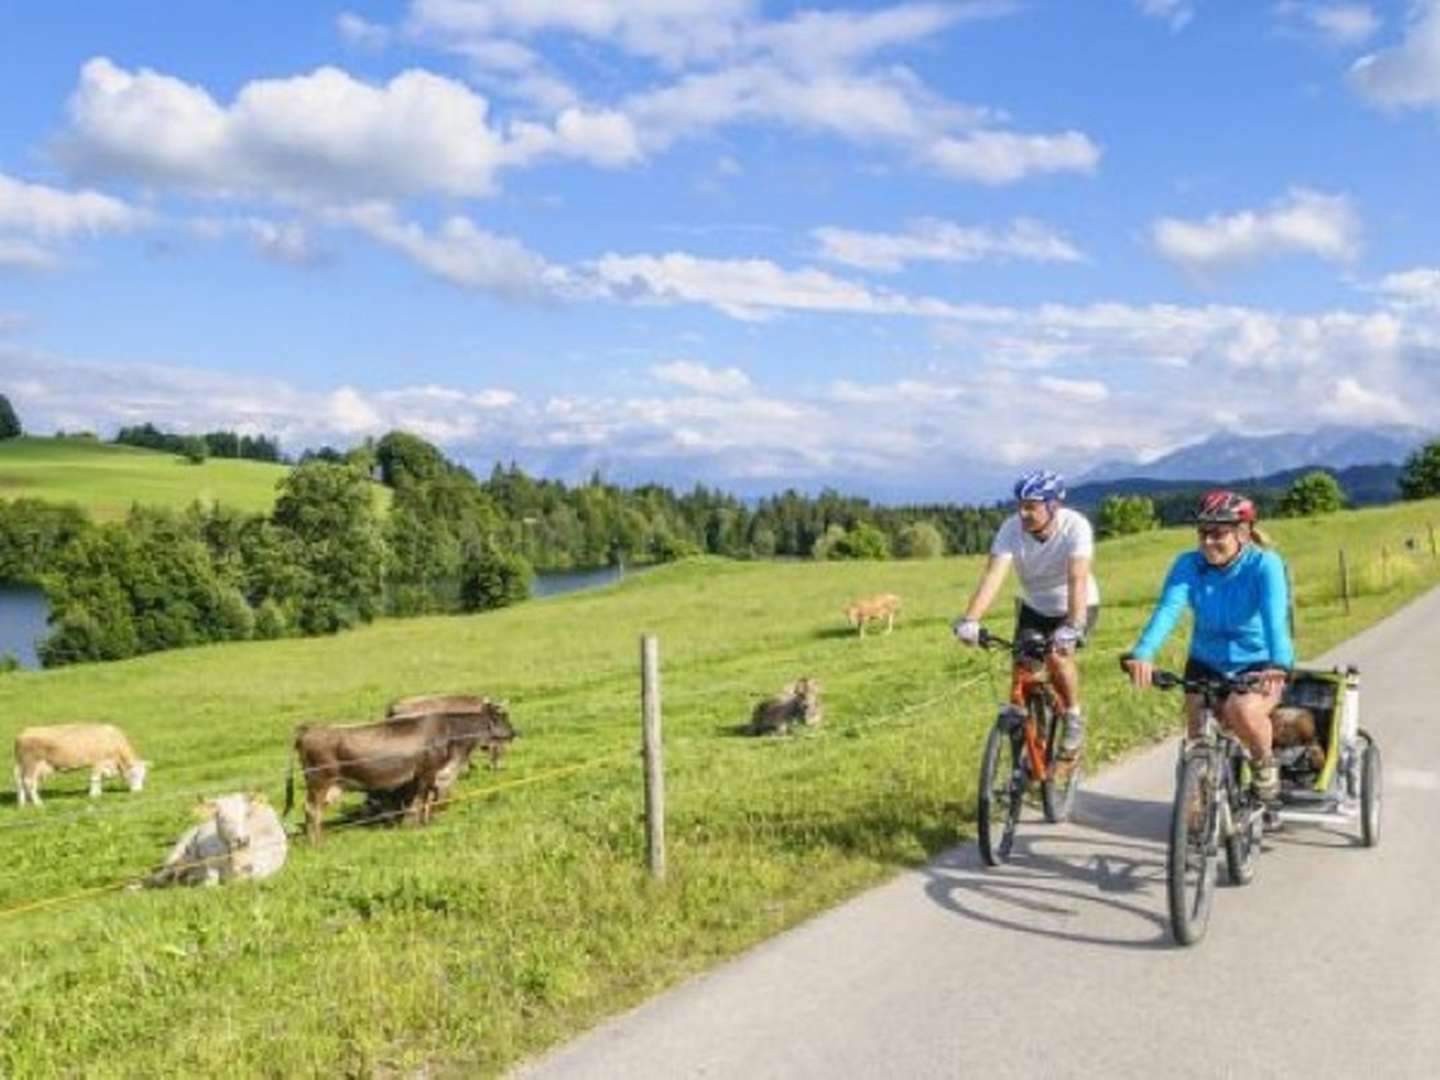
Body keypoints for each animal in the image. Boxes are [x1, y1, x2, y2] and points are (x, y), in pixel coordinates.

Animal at [12, 722, 148, 806]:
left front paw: (98, 794)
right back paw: (38, 804)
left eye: (143, 776)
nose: (138, 792)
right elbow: (95, 779)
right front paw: (94, 795)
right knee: (29, 782)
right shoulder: (98, 762)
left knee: (20, 782)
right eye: (134, 774)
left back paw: (21, 804)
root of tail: (23, 733)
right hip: (31, 764)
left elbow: (99, 780)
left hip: (24, 766)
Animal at [146, 794, 286, 887]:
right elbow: (211, 881)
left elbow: (250, 877)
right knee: (162, 873)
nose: (242, 840)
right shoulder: (210, 862)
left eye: (246, 815)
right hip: (178, 850)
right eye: (222, 818)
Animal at [283, 702, 515, 846]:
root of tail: (308, 729)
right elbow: (422, 799)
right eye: (503, 718)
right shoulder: (426, 772)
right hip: (319, 781)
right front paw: (416, 824)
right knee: (312, 810)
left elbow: (422, 800)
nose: (516, 732)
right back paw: (317, 843)